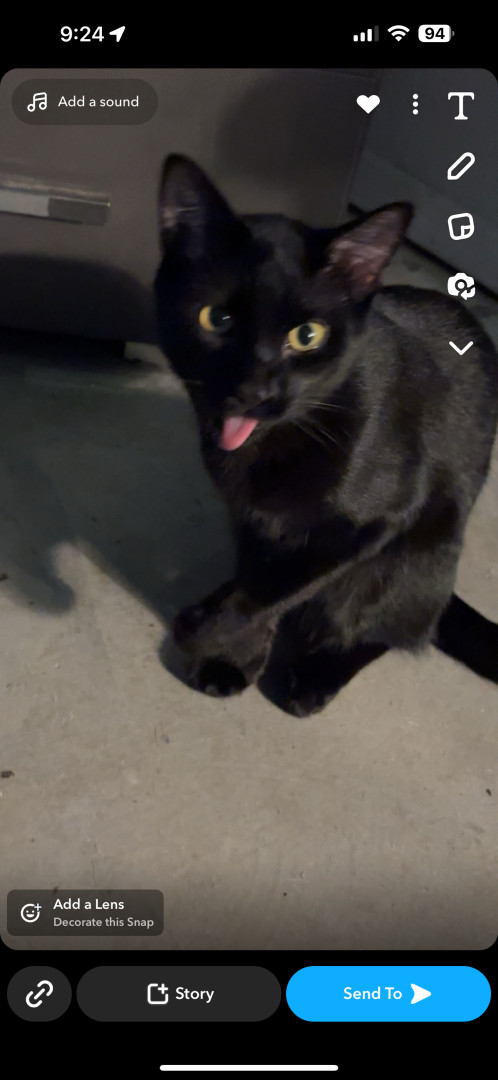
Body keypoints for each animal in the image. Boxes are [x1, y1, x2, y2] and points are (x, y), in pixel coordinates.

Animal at [154, 154, 498, 716]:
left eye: (307, 336)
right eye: (216, 318)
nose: (254, 389)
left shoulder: (371, 525)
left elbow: (275, 588)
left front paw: (203, 633)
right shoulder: (252, 519)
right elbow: (262, 583)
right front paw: (232, 660)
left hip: (412, 556)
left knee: (388, 628)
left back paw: (317, 676)